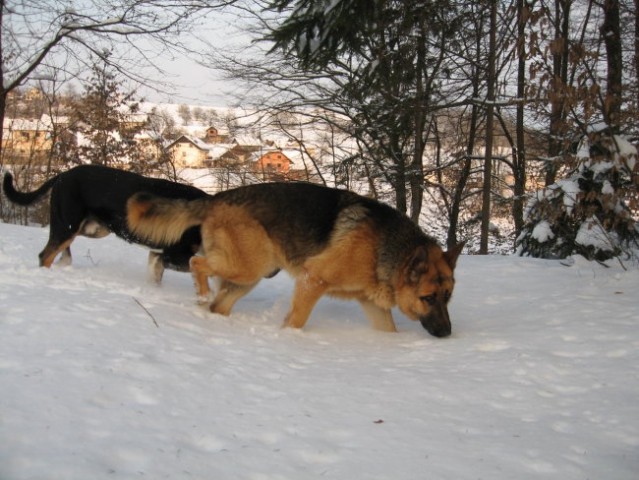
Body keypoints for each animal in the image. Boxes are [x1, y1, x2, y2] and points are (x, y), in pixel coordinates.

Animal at [1, 164, 208, 282]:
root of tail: (63, 175)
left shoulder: (157, 254)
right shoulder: (174, 255)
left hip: (90, 229)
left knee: (61, 251)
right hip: (67, 226)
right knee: (45, 255)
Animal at [126, 182, 464, 336]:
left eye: (448, 297)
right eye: (428, 297)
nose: (447, 334)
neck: (386, 249)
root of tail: (215, 198)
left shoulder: (372, 304)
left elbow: (389, 331)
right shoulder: (311, 279)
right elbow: (297, 320)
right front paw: (289, 341)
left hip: (246, 278)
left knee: (218, 304)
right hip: (248, 267)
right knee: (197, 265)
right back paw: (201, 294)